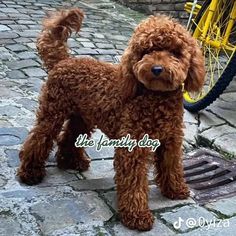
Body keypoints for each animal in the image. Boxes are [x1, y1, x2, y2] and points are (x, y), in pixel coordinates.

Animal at [18, 7, 205, 230]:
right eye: (146, 51)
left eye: (175, 52)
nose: (157, 69)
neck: (154, 96)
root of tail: (64, 60)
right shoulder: (133, 146)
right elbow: (133, 182)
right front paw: (137, 215)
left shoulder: (171, 141)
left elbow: (172, 166)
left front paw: (175, 190)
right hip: (52, 113)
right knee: (38, 139)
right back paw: (30, 173)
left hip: (83, 117)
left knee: (68, 136)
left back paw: (71, 161)